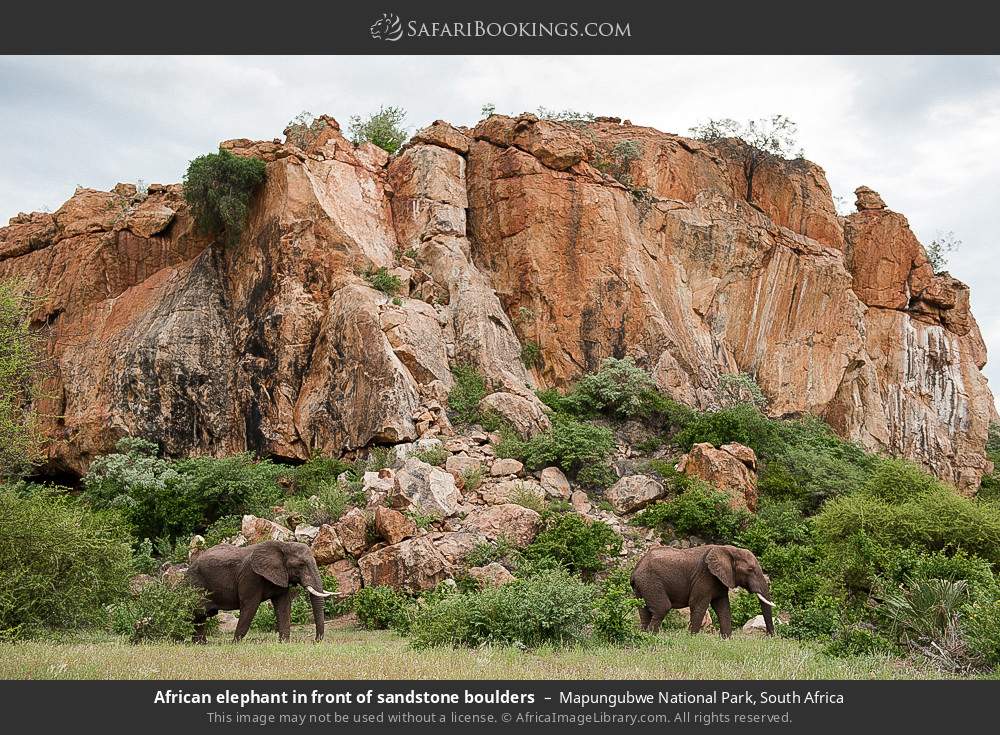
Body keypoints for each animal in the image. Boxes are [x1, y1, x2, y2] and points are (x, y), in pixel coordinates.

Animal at [186, 540, 334, 643]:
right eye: (301, 565)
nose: (315, 641)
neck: (283, 545)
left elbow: (283, 606)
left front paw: (284, 643)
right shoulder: (250, 576)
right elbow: (250, 606)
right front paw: (235, 643)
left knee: (201, 615)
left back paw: (200, 644)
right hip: (196, 583)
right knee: (199, 613)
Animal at [630, 544, 774, 637]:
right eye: (750, 569)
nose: (769, 636)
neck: (728, 549)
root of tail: (635, 569)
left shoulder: (719, 580)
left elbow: (723, 607)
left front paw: (726, 639)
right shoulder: (705, 576)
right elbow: (698, 605)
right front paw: (692, 638)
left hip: (642, 586)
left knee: (644, 610)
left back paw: (644, 635)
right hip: (650, 581)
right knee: (662, 608)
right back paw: (651, 636)